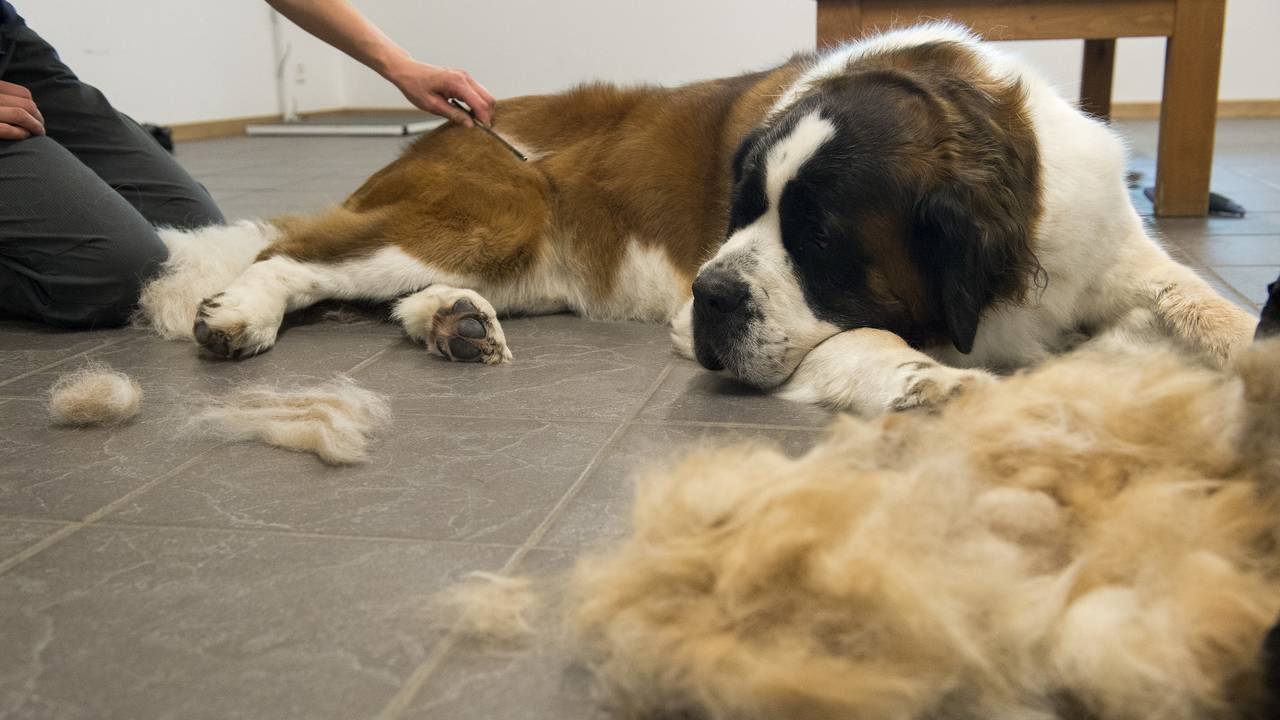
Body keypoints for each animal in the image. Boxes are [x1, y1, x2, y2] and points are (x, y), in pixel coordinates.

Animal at [135, 22, 1254, 412]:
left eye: (818, 237)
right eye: (739, 210)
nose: (713, 294)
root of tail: (454, 116)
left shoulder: (1105, 252)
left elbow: (1199, 302)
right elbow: (856, 340)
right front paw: (928, 381)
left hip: (513, 260)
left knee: (390, 292)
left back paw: (452, 322)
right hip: (493, 210)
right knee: (293, 253)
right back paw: (240, 315)